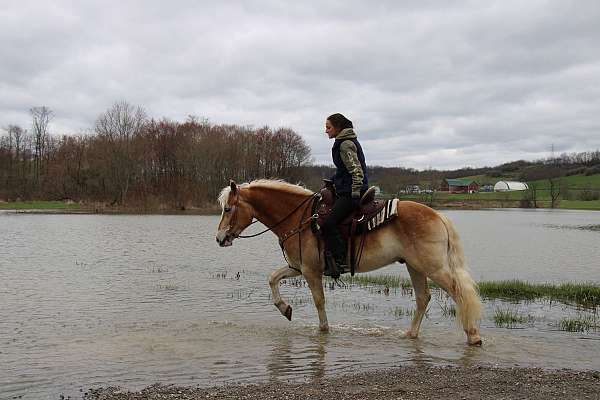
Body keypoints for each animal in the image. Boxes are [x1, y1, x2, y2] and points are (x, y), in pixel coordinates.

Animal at [216, 180, 482, 346]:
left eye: (228, 208)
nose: (219, 239)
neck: (299, 218)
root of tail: (438, 215)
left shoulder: (310, 271)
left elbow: (319, 301)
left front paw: (323, 331)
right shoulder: (296, 268)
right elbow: (272, 278)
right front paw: (285, 308)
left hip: (433, 267)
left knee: (458, 292)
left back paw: (473, 336)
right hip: (414, 266)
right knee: (422, 298)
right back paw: (411, 334)